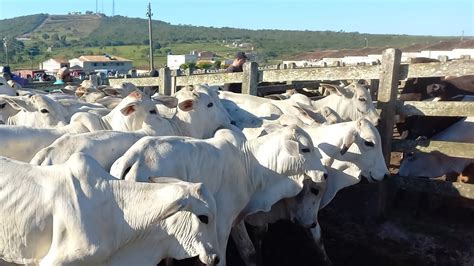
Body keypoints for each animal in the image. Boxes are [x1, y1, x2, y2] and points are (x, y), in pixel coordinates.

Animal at [110, 125, 326, 264]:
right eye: (305, 149)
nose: (324, 174)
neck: (251, 164)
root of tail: (132, 158)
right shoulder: (220, 225)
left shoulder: (236, 219)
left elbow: (249, 252)